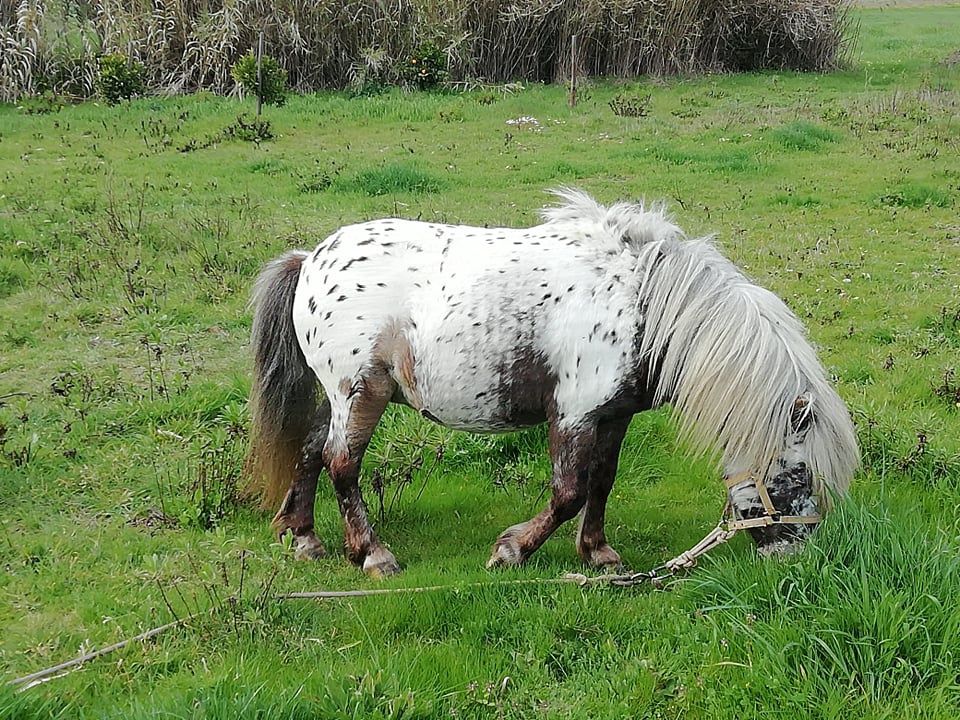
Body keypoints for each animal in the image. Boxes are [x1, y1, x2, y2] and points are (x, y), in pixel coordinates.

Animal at [244, 188, 860, 576]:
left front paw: (599, 555)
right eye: (799, 472)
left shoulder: (613, 416)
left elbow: (601, 482)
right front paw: (512, 551)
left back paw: (304, 538)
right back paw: (372, 555)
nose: (795, 559)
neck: (645, 304)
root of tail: (310, 259)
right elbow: (568, 493)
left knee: (310, 451)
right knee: (342, 464)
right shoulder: (574, 414)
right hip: (360, 393)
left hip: (339, 399)